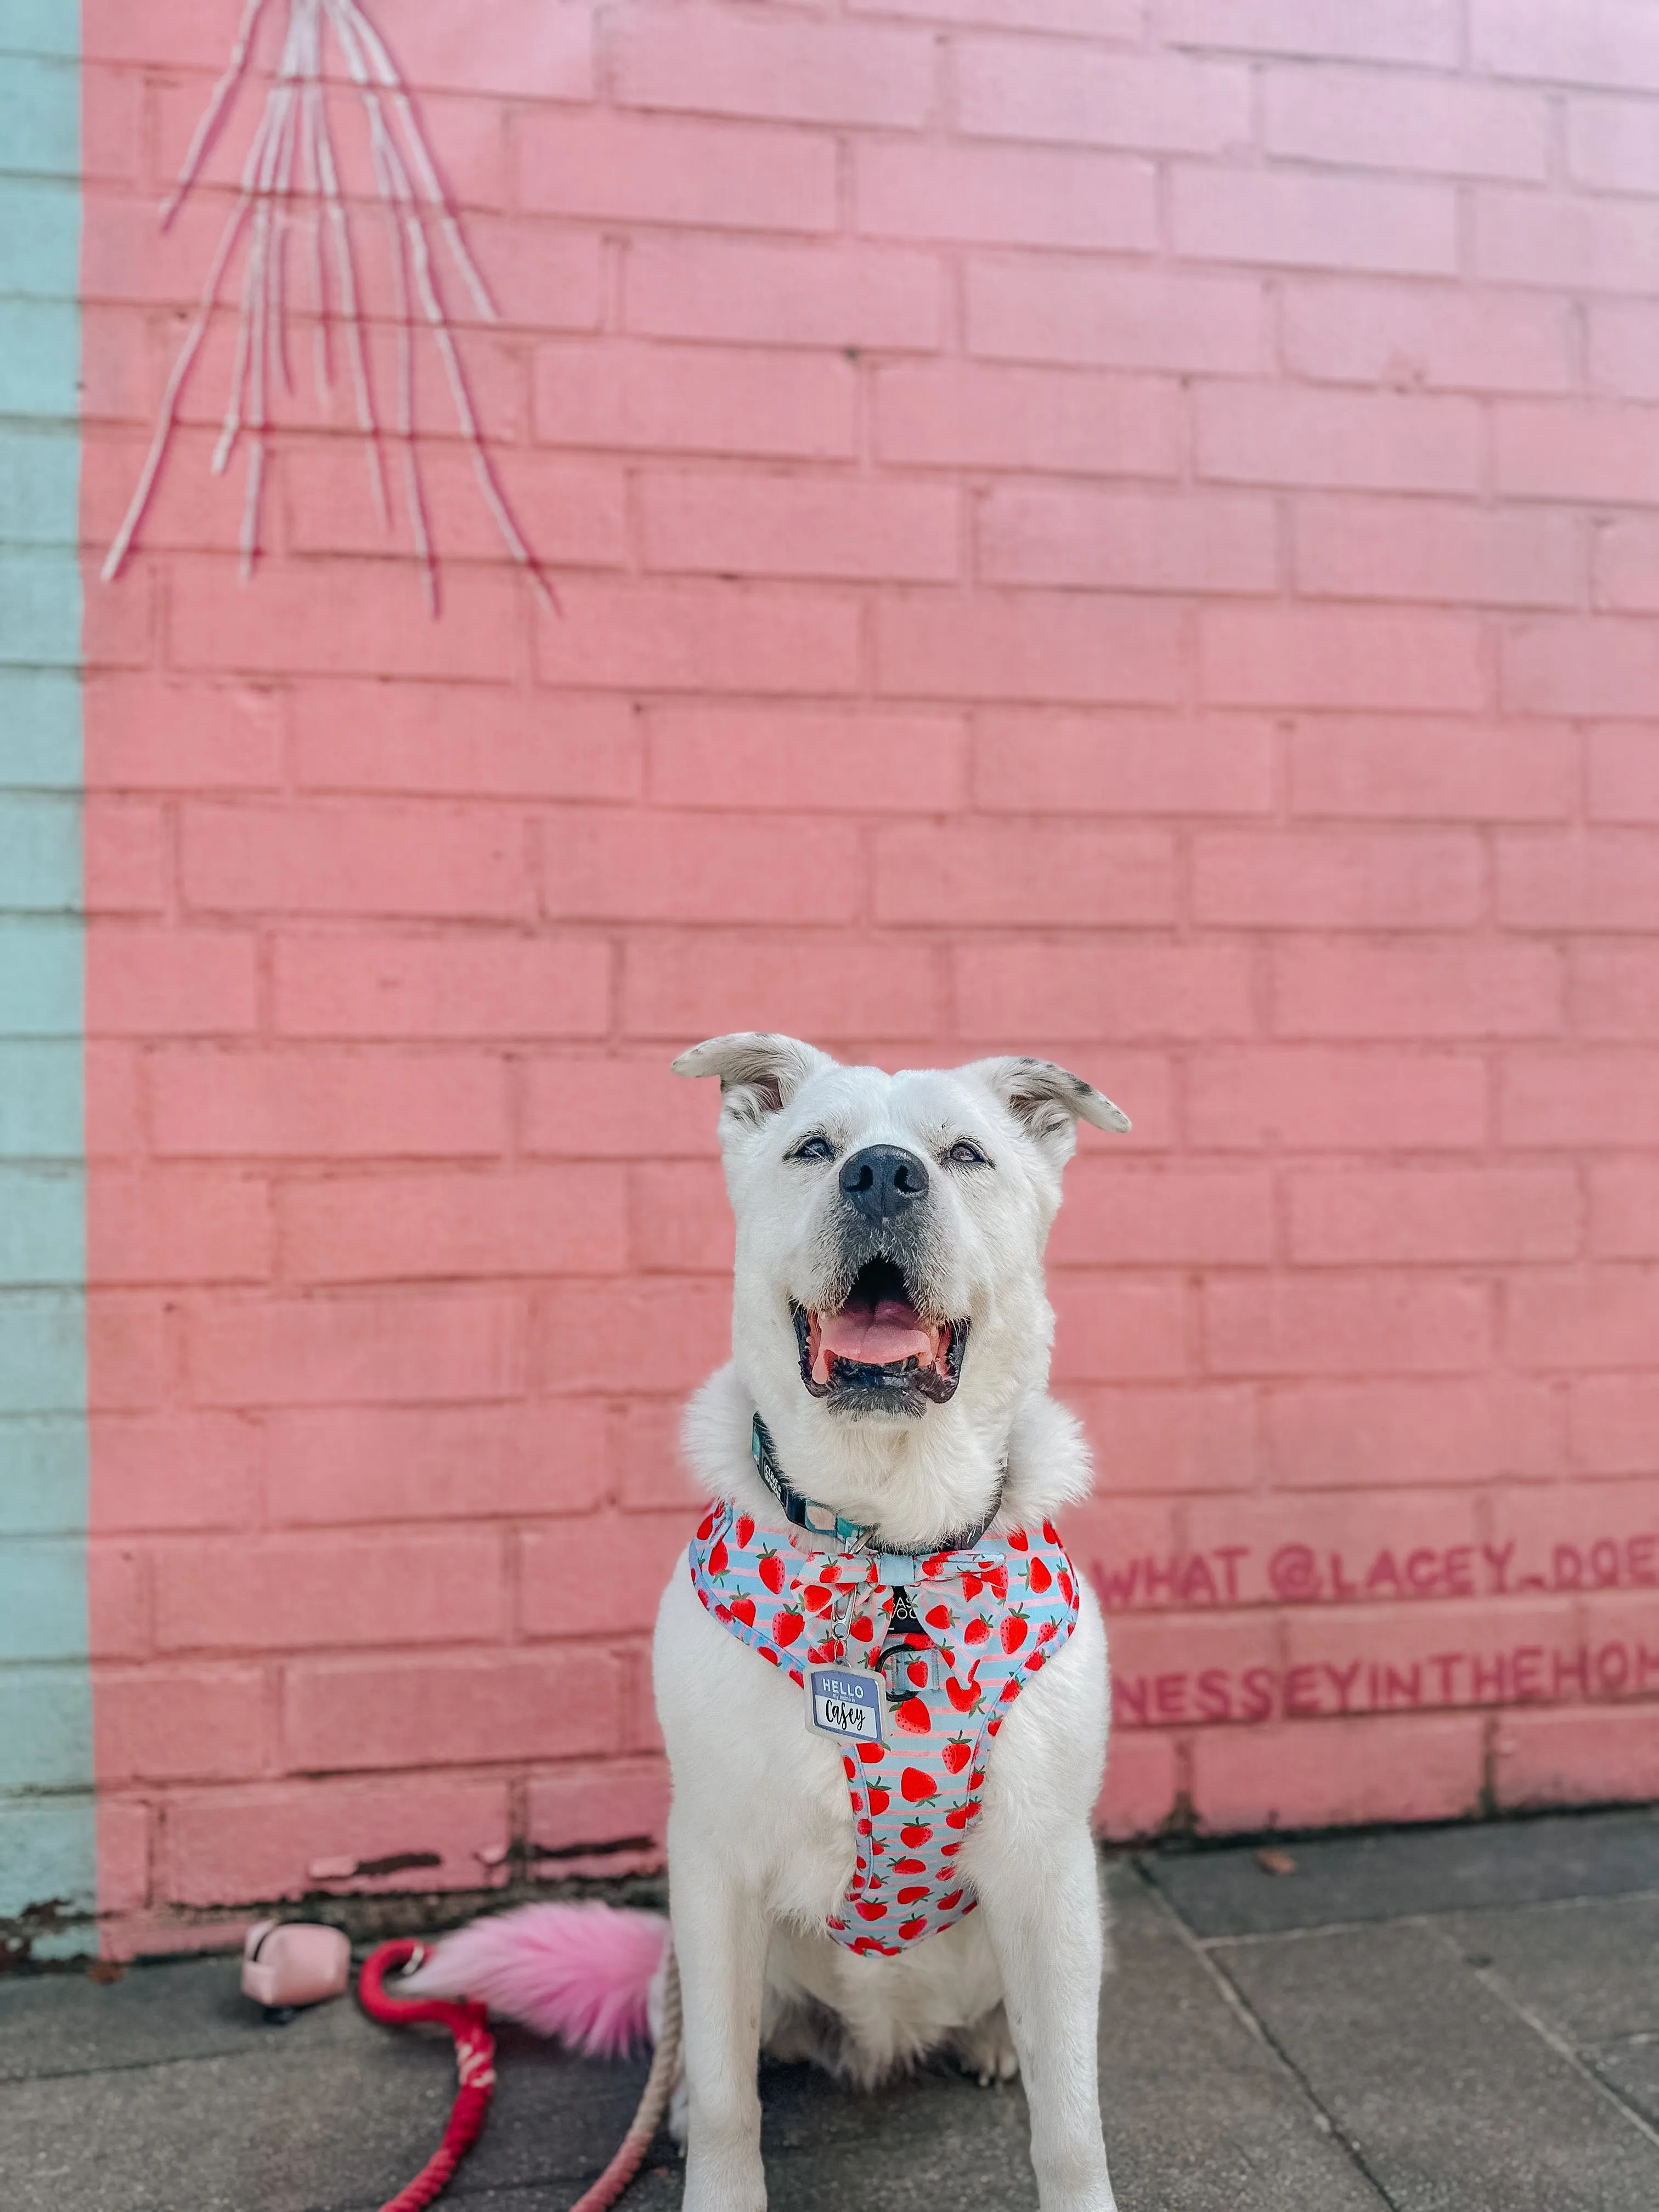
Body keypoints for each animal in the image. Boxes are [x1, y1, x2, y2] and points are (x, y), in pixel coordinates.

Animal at [654, 1035, 1124, 2212]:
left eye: (964, 1154)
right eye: (811, 1148)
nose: (878, 1174)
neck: (889, 1536)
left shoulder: (1049, 1868)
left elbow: (1070, 2124)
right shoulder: (711, 1863)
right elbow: (728, 2099)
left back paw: (994, 2041)